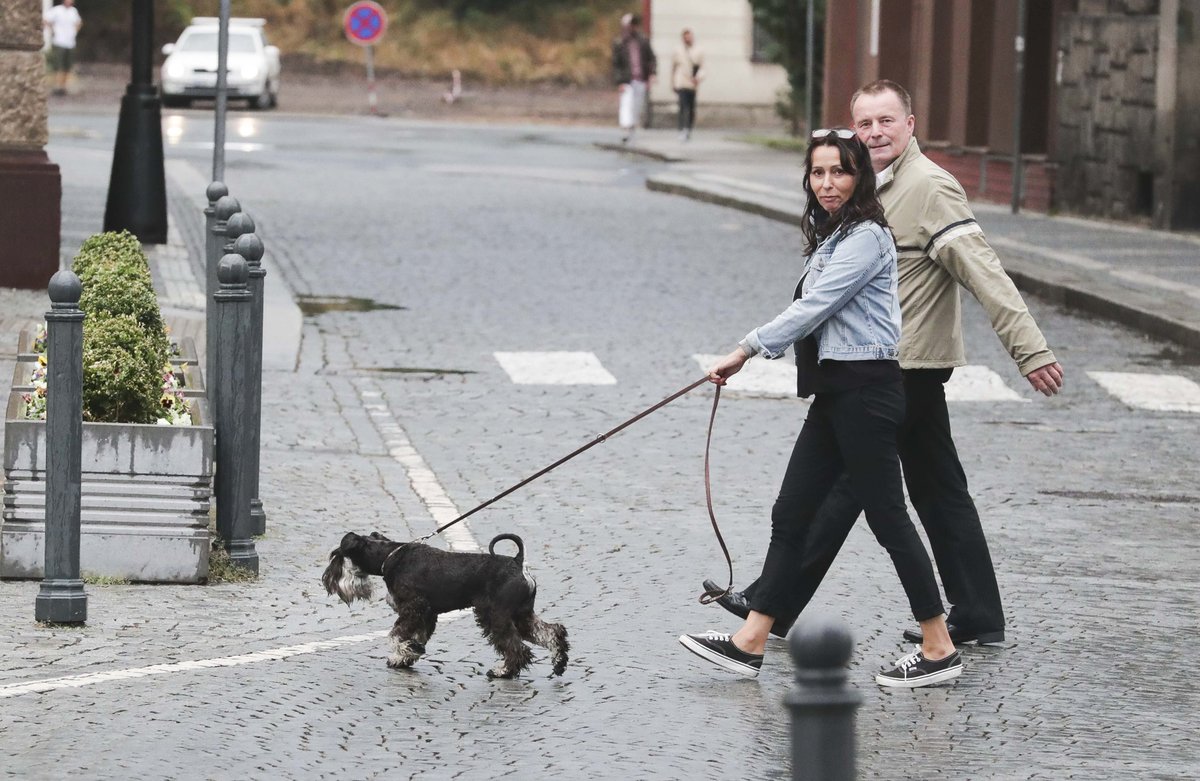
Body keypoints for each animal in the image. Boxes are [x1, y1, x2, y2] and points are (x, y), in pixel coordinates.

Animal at [321, 532, 568, 676]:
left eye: (336, 556)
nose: (326, 581)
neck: (389, 557)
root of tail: (519, 563)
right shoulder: (426, 615)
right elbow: (416, 636)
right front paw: (405, 655)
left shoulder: (414, 608)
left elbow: (394, 635)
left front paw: (406, 651)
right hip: (521, 614)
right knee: (551, 631)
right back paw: (558, 662)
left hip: (495, 615)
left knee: (516, 647)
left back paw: (503, 671)